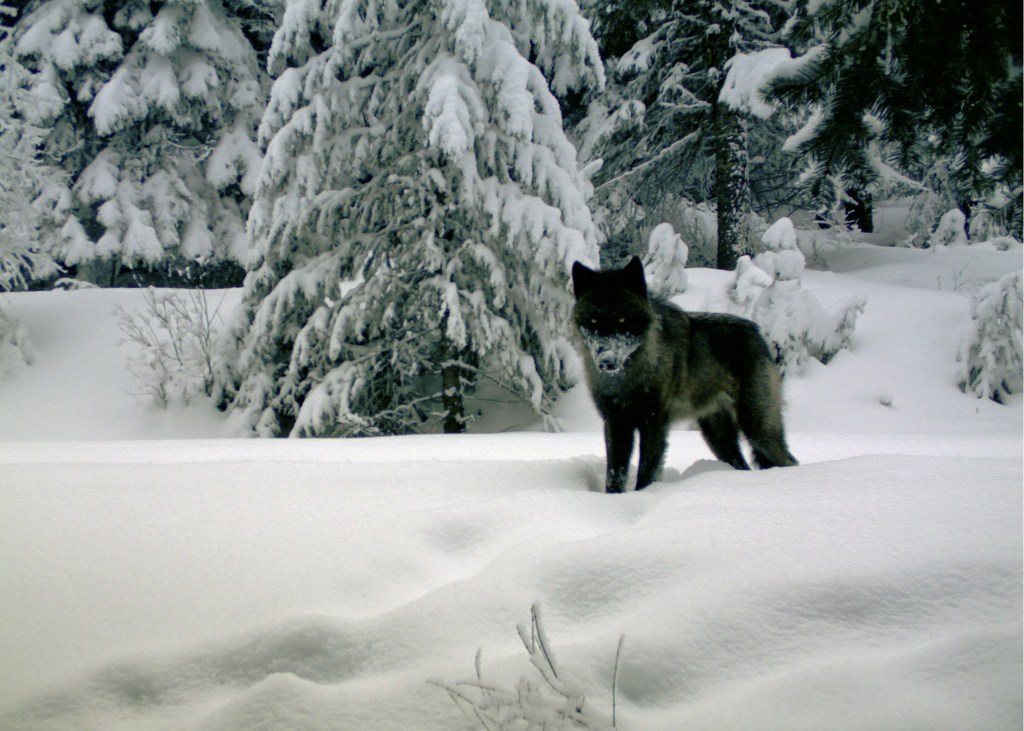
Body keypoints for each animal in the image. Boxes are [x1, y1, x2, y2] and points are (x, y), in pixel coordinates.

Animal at [571, 256, 797, 493]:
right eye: (593, 320)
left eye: (623, 319)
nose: (606, 360)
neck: (627, 378)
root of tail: (758, 334)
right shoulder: (616, 424)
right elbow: (614, 474)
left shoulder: (654, 424)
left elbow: (647, 471)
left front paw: (644, 496)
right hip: (717, 436)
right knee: (742, 465)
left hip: (757, 427)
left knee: (788, 460)